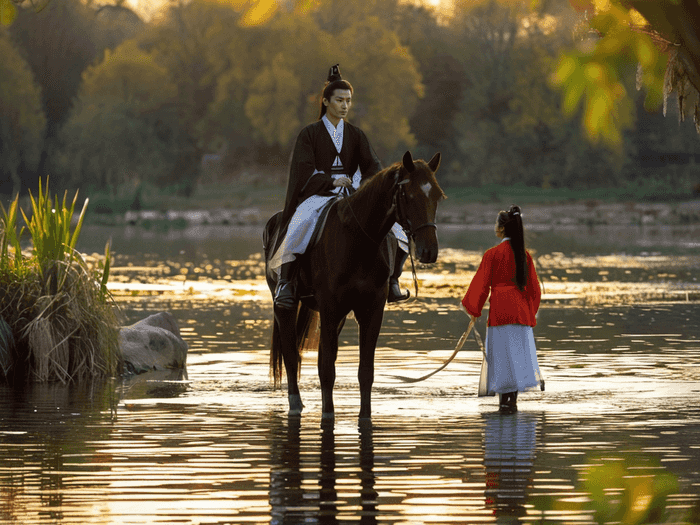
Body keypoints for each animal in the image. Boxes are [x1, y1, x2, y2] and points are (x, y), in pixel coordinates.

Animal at [262, 150, 442, 418]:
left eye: (438, 195)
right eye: (409, 195)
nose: (429, 251)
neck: (358, 240)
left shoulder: (371, 310)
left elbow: (365, 371)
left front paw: (364, 415)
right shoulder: (329, 309)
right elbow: (326, 369)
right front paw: (328, 414)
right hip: (285, 306)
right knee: (291, 355)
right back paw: (295, 404)